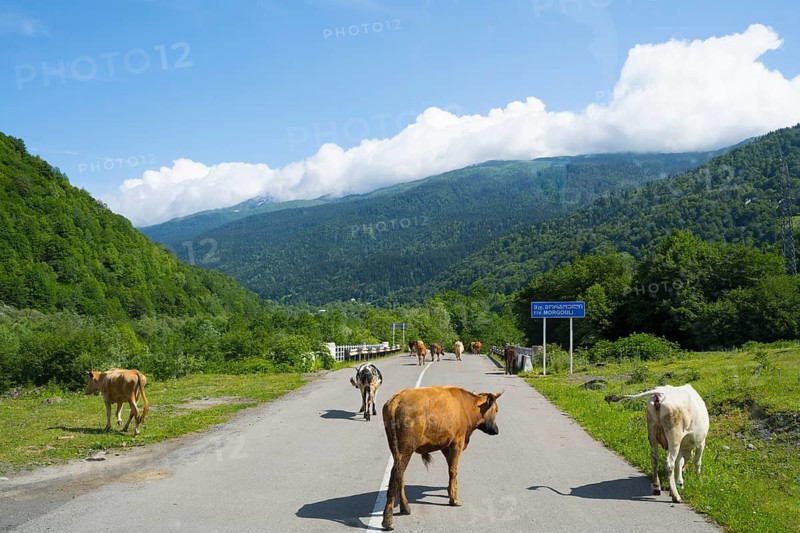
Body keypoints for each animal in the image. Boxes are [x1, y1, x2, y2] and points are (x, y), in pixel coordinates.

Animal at [381, 386, 503, 530]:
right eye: (496, 410)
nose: (496, 430)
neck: (467, 406)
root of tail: (396, 400)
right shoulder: (457, 443)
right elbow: (454, 470)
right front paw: (454, 499)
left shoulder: (446, 446)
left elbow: (450, 469)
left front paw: (450, 491)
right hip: (405, 449)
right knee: (396, 475)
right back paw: (388, 520)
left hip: (396, 450)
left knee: (401, 476)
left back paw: (405, 508)